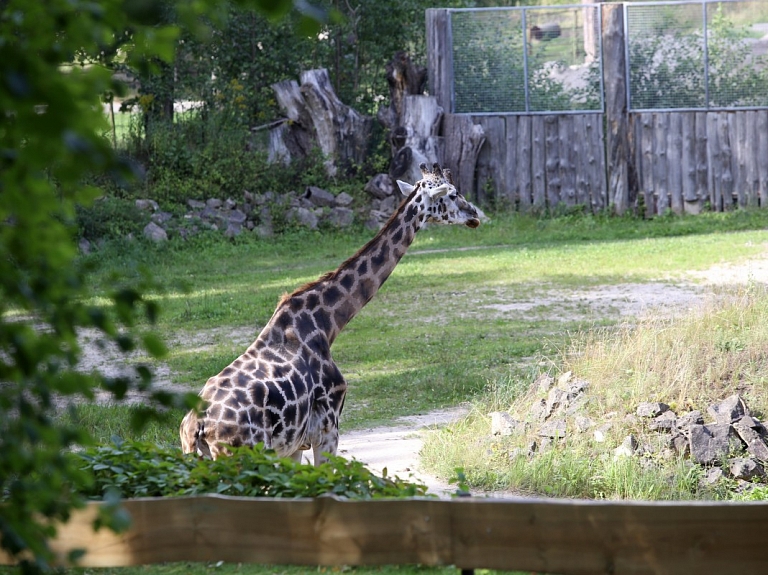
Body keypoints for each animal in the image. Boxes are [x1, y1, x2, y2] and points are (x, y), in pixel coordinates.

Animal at [180, 161, 480, 464]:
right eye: (452, 194)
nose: (475, 216)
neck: (327, 323)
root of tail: (197, 426)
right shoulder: (328, 427)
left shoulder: (293, 445)